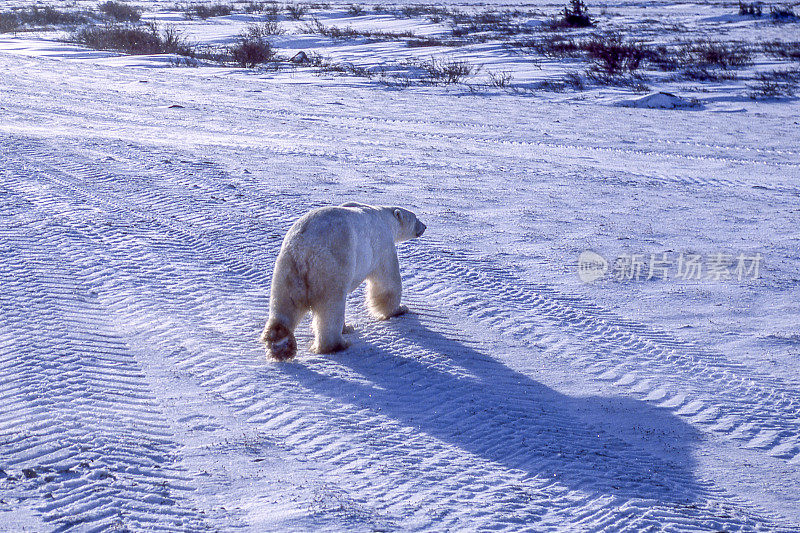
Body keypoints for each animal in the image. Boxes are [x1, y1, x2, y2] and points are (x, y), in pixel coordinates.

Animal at [260, 202, 424, 360]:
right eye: (415, 217)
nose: (424, 226)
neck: (385, 217)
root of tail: (303, 249)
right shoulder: (383, 245)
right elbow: (387, 281)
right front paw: (399, 309)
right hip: (331, 265)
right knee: (331, 307)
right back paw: (338, 344)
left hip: (287, 268)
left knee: (285, 303)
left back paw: (280, 343)